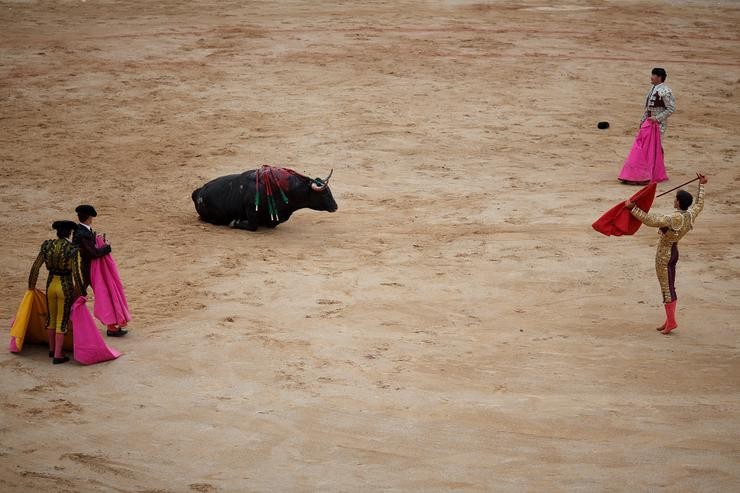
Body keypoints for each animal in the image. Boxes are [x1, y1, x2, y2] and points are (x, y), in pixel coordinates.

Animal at [194, 165, 338, 231]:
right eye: (324, 193)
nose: (335, 206)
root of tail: (199, 192)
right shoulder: (251, 208)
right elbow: (253, 226)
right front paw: (234, 222)